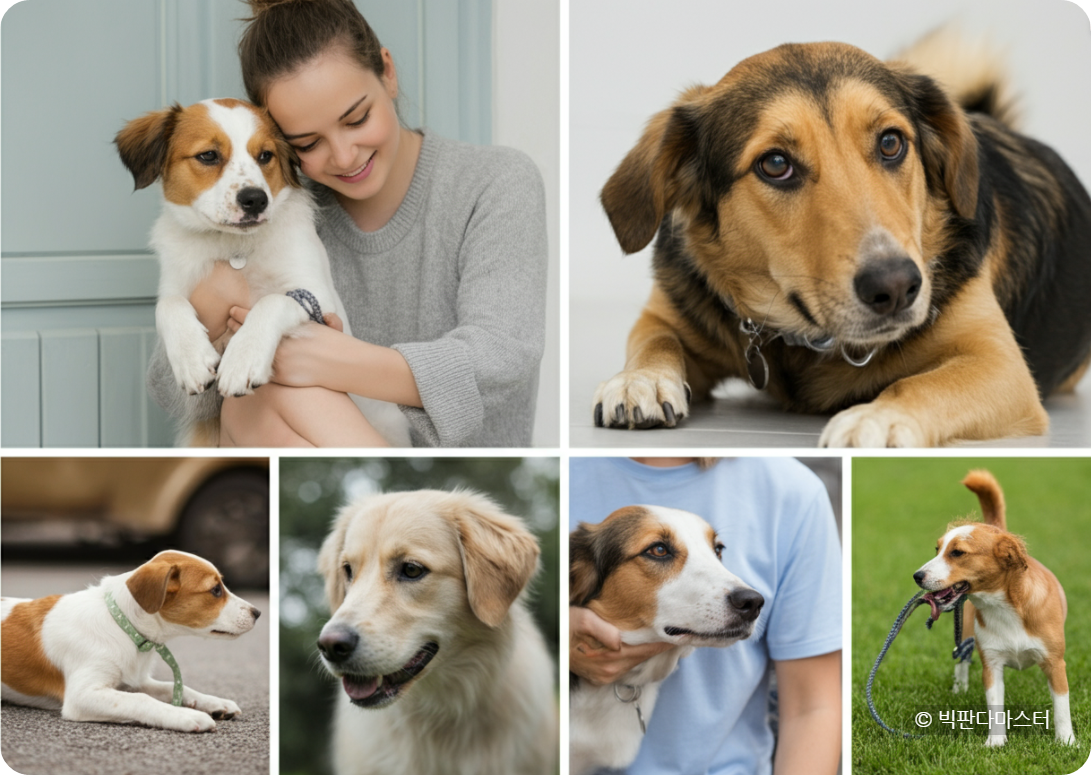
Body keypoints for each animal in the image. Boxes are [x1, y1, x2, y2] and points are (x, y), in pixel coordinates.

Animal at [0, 552, 259, 733]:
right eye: (215, 590)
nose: (258, 613)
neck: (121, 624)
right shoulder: (82, 695)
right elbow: (142, 700)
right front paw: (185, 716)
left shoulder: (135, 680)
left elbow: (173, 687)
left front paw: (215, 702)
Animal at [114, 100, 410, 445]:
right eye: (208, 155)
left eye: (265, 155)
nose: (255, 199)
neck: (234, 247)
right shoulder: (176, 284)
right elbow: (168, 305)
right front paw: (191, 358)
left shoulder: (319, 297)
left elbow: (273, 301)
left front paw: (243, 359)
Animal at [597, 34, 1091, 449]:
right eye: (775, 164)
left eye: (891, 142)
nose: (896, 286)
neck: (805, 341)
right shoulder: (667, 314)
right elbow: (656, 340)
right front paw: (639, 379)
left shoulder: (1000, 364)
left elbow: (921, 382)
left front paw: (879, 417)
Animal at [912, 471, 1073, 750]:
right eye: (937, 550)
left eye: (957, 552)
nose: (917, 576)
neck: (1004, 608)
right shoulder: (992, 663)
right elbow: (995, 706)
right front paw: (996, 743)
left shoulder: (1055, 662)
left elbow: (1062, 706)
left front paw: (1067, 742)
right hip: (966, 631)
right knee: (962, 659)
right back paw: (959, 689)